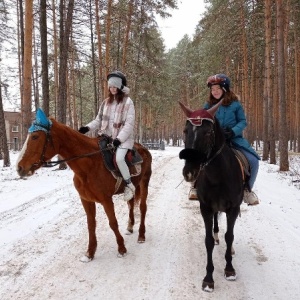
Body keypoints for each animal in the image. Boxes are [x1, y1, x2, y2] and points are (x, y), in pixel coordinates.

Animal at [15, 109, 152, 262]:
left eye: (35, 136)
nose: (19, 167)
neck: (90, 165)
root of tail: (144, 148)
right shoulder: (86, 200)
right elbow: (91, 225)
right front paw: (90, 253)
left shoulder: (106, 200)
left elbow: (113, 222)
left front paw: (121, 248)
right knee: (131, 204)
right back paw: (130, 227)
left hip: (144, 182)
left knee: (143, 207)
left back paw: (141, 235)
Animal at [178, 100, 244, 290]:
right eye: (185, 131)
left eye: (207, 133)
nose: (189, 172)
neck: (218, 175)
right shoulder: (206, 208)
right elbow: (207, 240)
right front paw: (208, 278)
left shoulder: (233, 208)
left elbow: (229, 236)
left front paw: (229, 269)